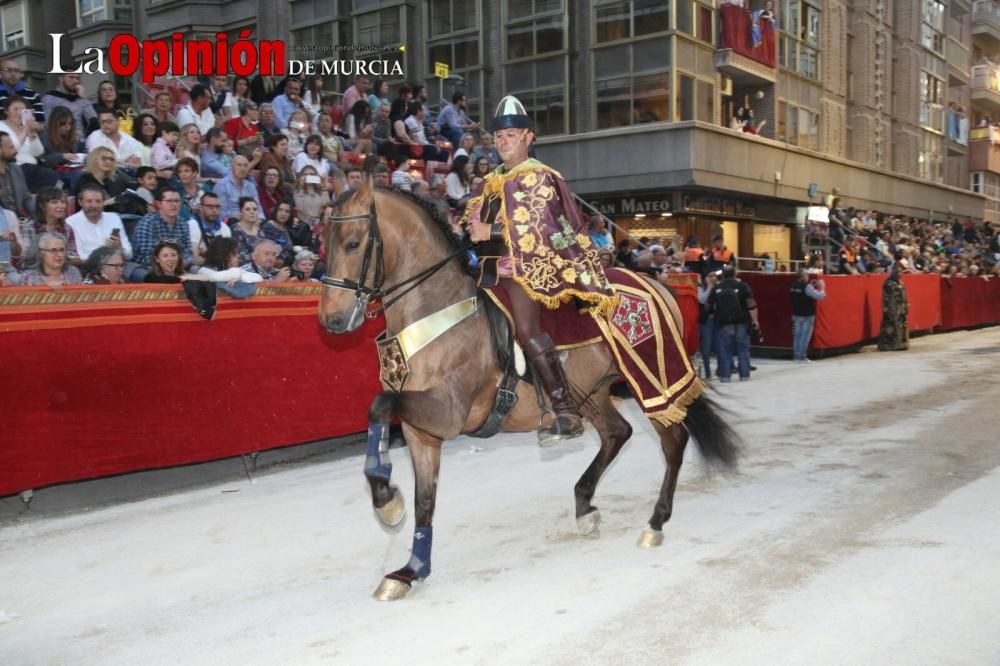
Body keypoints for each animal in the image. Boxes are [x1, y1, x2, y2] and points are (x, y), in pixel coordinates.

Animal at [320, 183, 744, 600]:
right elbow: (425, 498)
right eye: (325, 243)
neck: (435, 311)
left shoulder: (449, 412)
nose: (332, 319)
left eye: (353, 243)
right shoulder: (420, 431)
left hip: (651, 382)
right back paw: (584, 504)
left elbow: (379, 405)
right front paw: (410, 570)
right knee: (616, 433)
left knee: (673, 440)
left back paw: (654, 522)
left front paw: (386, 503)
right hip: (591, 391)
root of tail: (654, 281)